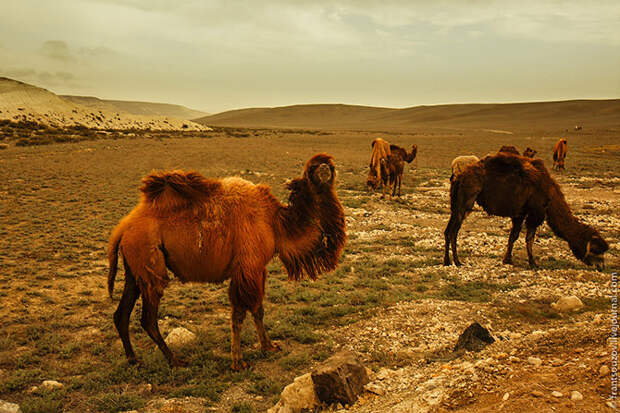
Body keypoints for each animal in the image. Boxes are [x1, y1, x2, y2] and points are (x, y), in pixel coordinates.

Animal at [108, 153, 346, 368]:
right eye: (313, 171)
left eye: (331, 168)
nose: (325, 169)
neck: (274, 223)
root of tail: (123, 228)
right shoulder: (247, 267)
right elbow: (239, 314)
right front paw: (238, 361)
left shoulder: (258, 269)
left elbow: (258, 309)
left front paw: (269, 346)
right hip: (150, 264)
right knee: (148, 318)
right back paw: (175, 361)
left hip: (135, 269)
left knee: (121, 313)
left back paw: (133, 359)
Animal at [444, 153, 608, 268]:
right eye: (596, 249)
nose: (601, 266)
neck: (550, 192)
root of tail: (458, 177)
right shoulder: (535, 212)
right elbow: (529, 238)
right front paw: (533, 263)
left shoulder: (520, 212)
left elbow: (513, 236)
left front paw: (507, 260)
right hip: (466, 201)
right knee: (454, 231)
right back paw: (457, 261)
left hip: (456, 203)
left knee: (447, 230)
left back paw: (447, 261)